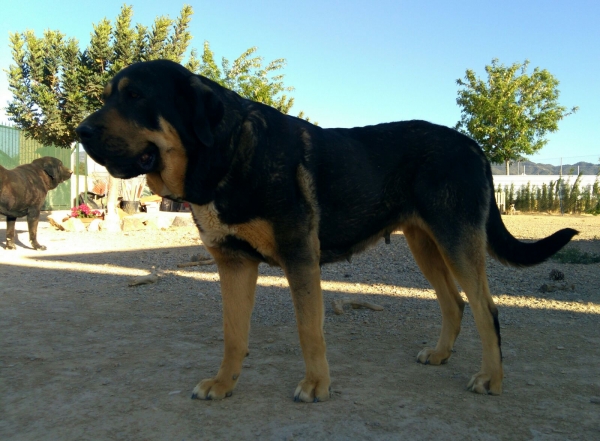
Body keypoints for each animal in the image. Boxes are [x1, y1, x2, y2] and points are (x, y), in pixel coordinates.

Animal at [76, 60, 576, 400]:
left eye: (136, 97)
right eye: (108, 96)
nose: (81, 132)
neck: (226, 155)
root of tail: (474, 146)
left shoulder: (300, 258)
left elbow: (308, 329)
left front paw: (317, 384)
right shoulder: (234, 264)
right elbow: (234, 334)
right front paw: (223, 383)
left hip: (456, 242)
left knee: (486, 310)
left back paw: (492, 378)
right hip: (425, 244)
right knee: (454, 303)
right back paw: (440, 355)